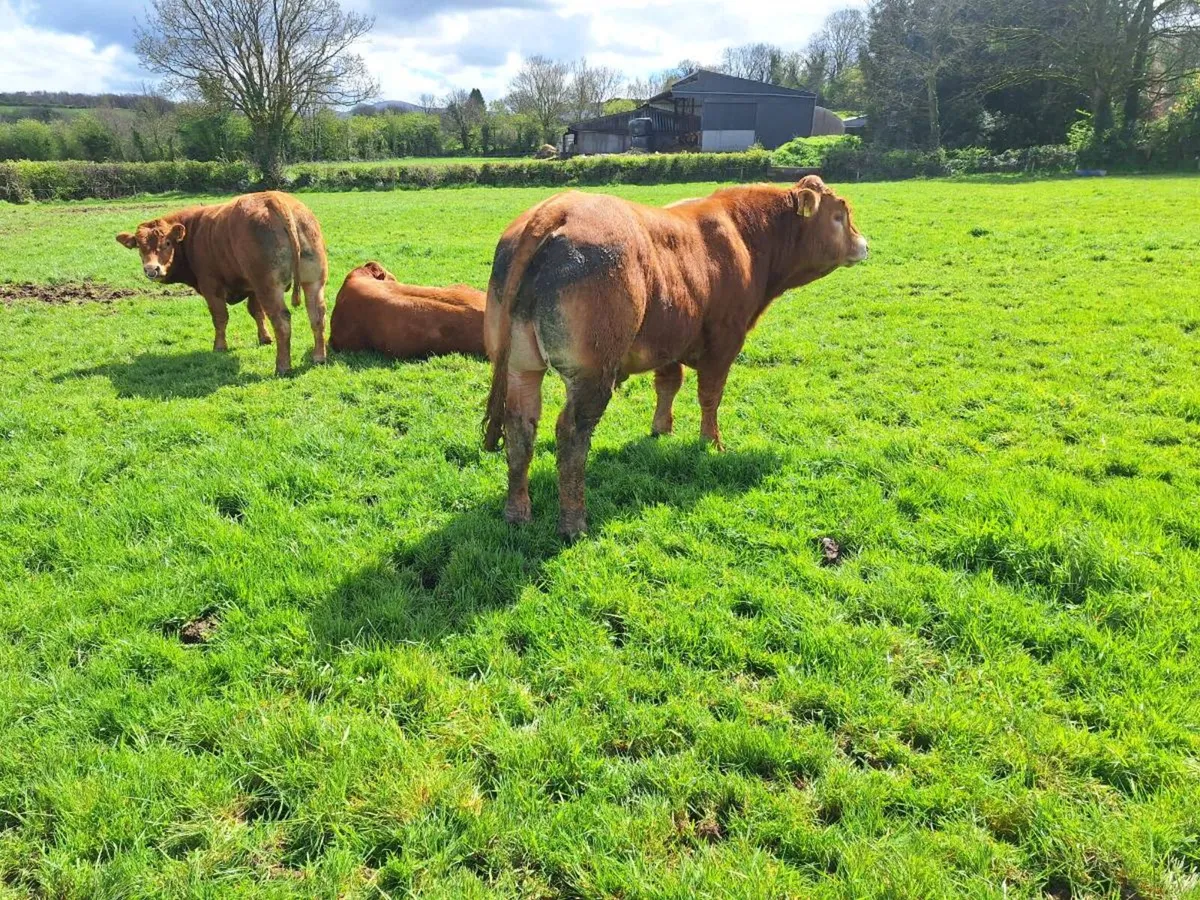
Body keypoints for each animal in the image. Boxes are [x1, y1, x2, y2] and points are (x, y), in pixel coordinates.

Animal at [116, 191, 328, 375]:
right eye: (140, 247)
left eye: (167, 243)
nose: (152, 269)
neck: (192, 234)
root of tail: (274, 198)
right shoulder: (252, 287)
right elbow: (256, 313)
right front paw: (264, 338)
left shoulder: (212, 288)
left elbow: (220, 318)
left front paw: (219, 346)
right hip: (313, 281)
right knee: (317, 314)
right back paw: (318, 357)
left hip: (269, 288)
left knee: (282, 320)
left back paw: (283, 366)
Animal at [482, 175, 869, 539]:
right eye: (839, 215)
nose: (864, 245)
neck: (745, 237)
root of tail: (557, 207)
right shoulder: (724, 340)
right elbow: (710, 395)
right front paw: (711, 442)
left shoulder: (669, 342)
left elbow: (668, 384)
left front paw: (661, 429)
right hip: (592, 373)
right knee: (572, 434)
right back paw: (574, 523)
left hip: (521, 366)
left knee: (520, 427)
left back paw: (517, 513)